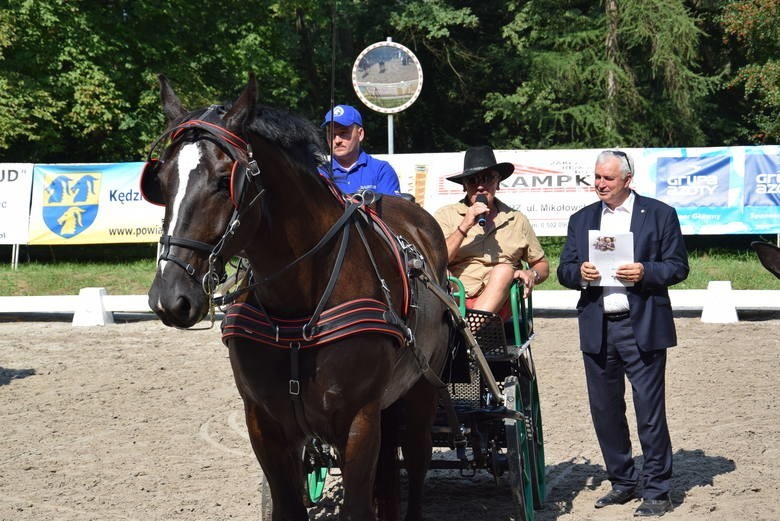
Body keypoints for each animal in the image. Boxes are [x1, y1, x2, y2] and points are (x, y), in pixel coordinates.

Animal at [142, 74, 450, 520]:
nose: (170, 296)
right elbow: (289, 505)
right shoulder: (266, 425)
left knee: (417, 455)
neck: (299, 305)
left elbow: (360, 505)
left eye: (223, 180)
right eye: (162, 182)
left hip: (422, 390)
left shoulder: (358, 422)